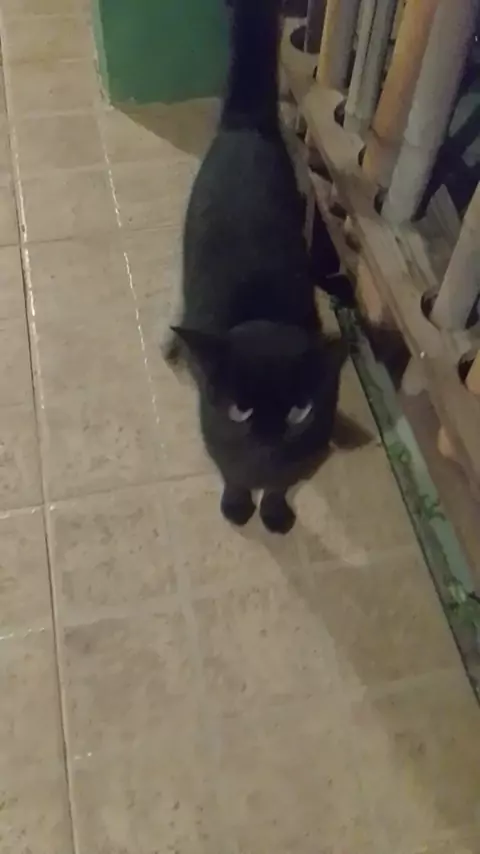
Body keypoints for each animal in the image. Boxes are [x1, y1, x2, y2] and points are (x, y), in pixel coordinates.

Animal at [167, 0, 347, 534]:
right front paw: (236, 504)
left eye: (298, 413)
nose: (268, 439)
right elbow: (232, 471)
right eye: (240, 411)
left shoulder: (308, 445)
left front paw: (274, 511)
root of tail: (247, 126)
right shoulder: (215, 432)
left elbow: (282, 482)